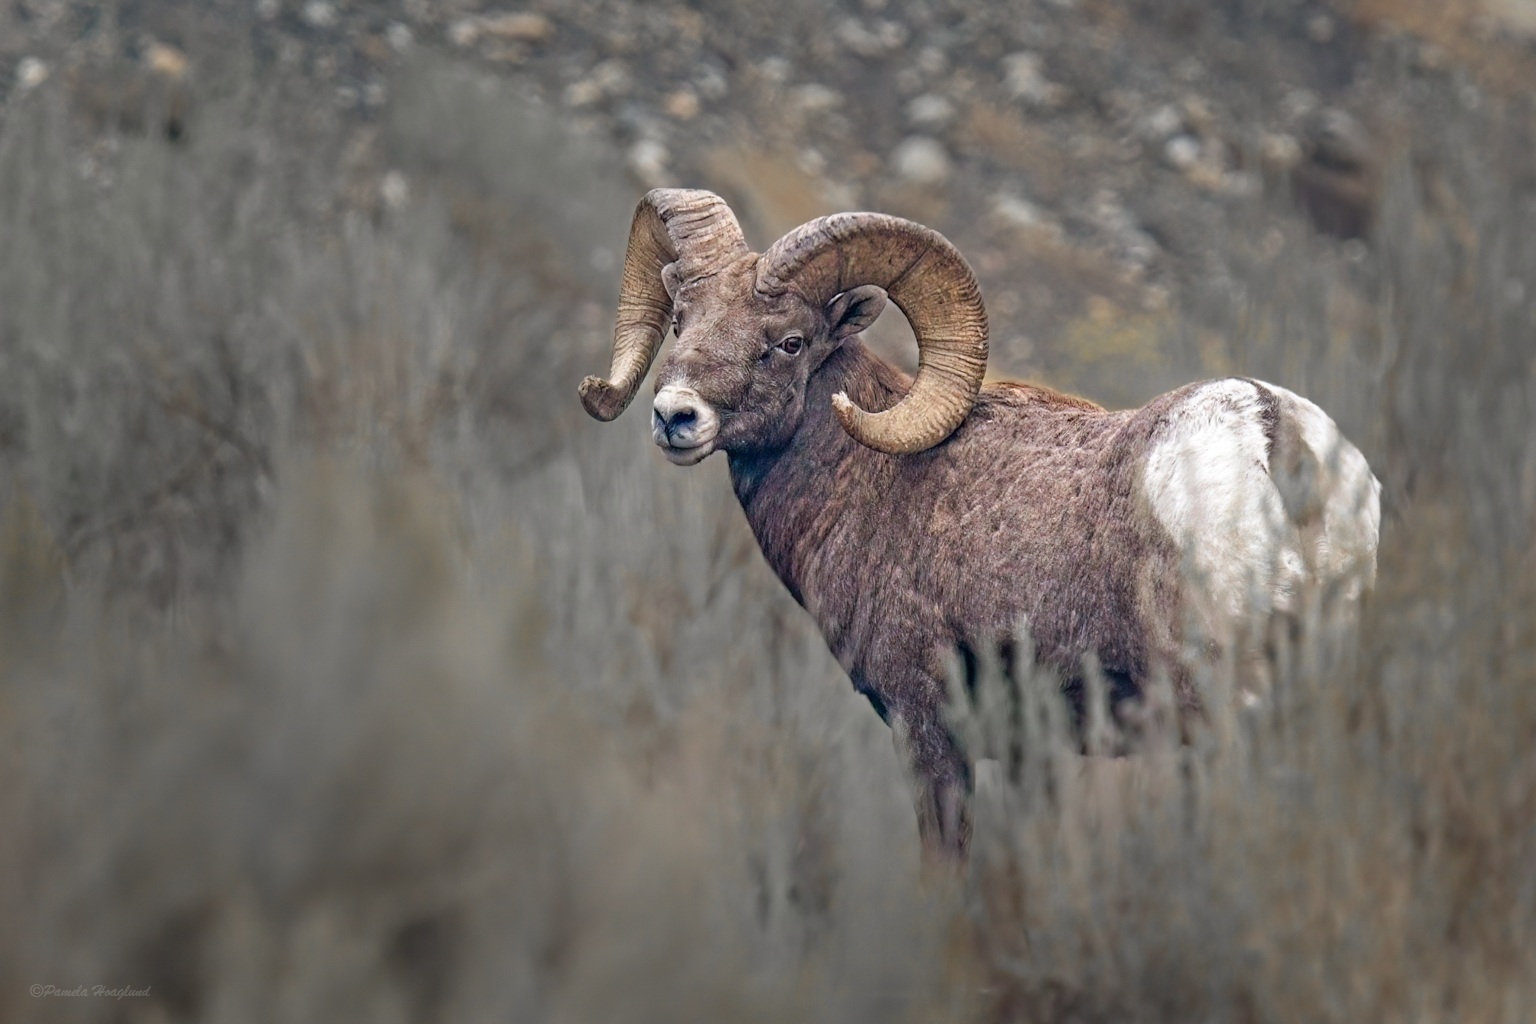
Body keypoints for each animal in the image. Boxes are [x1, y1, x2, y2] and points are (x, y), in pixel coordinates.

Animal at [579, 189, 1381, 859]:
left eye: (790, 342)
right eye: (680, 320)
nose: (675, 417)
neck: (868, 489)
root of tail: (1273, 433)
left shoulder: (930, 737)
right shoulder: (1034, 754)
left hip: (1218, 704)